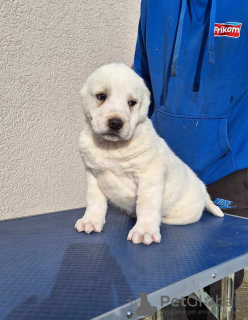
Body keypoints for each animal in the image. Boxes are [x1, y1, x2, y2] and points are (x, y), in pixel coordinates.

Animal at [75, 63, 223, 246]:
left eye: (132, 103)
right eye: (101, 96)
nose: (116, 123)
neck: (111, 146)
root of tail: (203, 190)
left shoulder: (149, 177)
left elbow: (147, 206)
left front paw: (144, 231)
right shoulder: (93, 175)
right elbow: (94, 201)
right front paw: (90, 220)